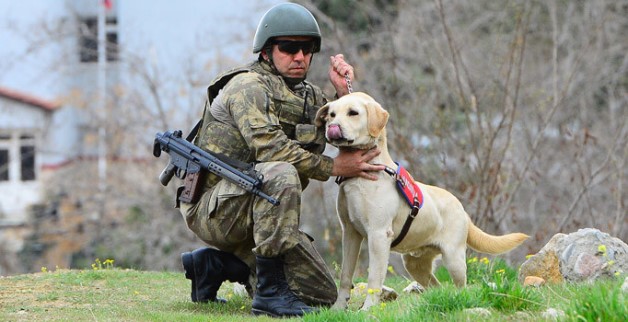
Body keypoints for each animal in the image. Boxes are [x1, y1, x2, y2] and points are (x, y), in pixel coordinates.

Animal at [316, 92, 528, 310]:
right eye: (331, 115)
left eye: (353, 113)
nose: (332, 128)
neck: (360, 177)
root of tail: (463, 210)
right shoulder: (350, 233)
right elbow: (345, 276)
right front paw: (337, 309)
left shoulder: (378, 234)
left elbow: (374, 279)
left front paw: (367, 309)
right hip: (415, 264)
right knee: (436, 286)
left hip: (454, 259)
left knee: (461, 287)